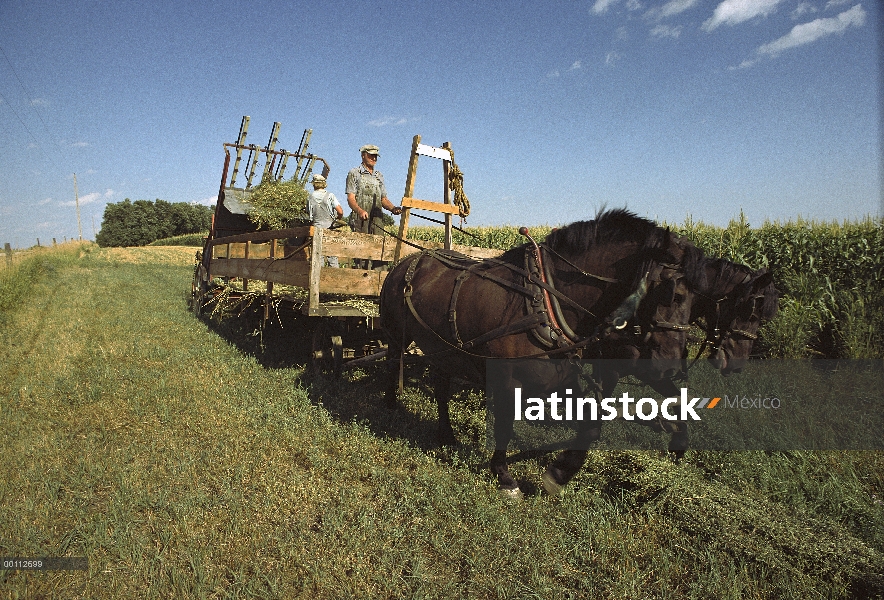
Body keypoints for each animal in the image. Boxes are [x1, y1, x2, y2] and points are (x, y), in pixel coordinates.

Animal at [378, 209, 704, 500]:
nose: (671, 365)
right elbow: (505, 425)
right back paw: (390, 407)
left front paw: (559, 474)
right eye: (673, 294)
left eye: (697, 298)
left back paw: (445, 434)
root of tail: (408, 260)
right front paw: (505, 476)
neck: (546, 302)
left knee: (441, 388)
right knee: (392, 364)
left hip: (443, 349)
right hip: (396, 336)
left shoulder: (564, 378)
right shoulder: (507, 379)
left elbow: (591, 426)